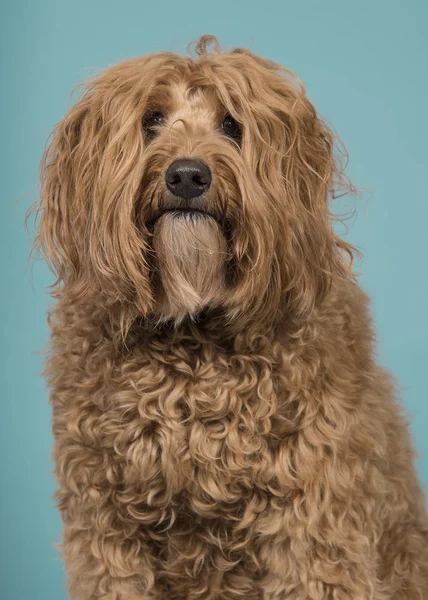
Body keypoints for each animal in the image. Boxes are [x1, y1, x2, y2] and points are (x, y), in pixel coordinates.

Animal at [30, 36, 428, 600]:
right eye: (152, 120)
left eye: (232, 126)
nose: (187, 175)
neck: (194, 328)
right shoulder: (106, 526)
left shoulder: (312, 522)